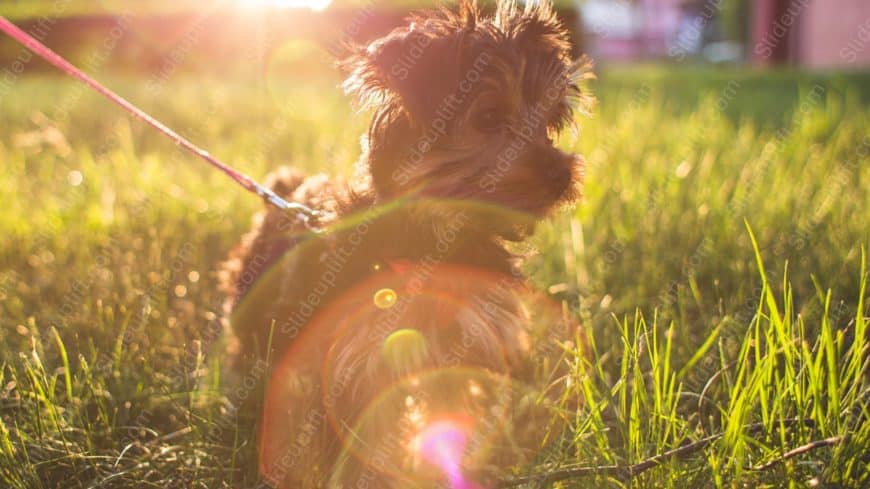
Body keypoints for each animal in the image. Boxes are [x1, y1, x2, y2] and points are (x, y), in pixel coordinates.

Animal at [221, 1, 596, 486]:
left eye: (549, 122)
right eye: (488, 117)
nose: (561, 174)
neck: (434, 239)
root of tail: (286, 190)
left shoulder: (466, 342)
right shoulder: (350, 358)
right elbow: (356, 443)